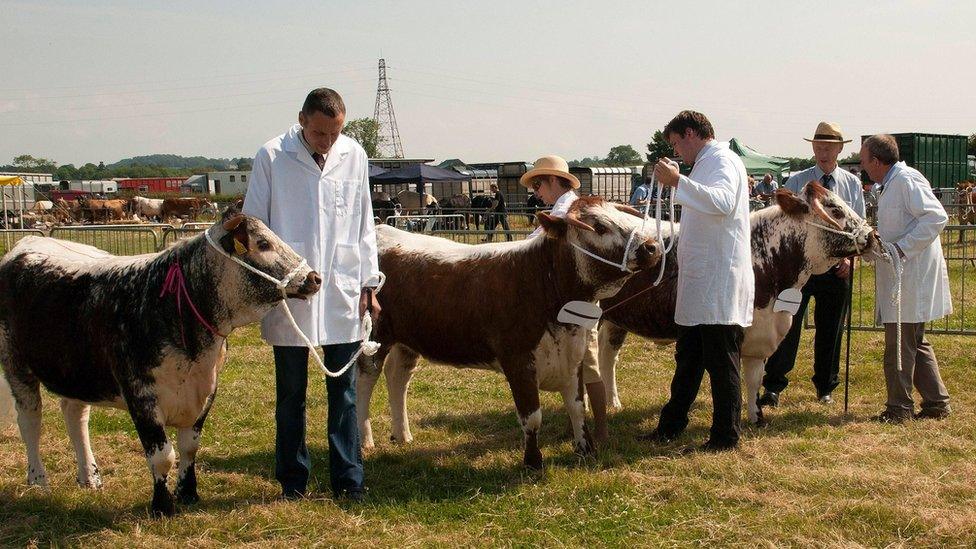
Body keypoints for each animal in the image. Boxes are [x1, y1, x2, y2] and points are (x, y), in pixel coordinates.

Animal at [0, 208, 320, 516]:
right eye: (263, 243)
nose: (314, 278)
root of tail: (29, 243)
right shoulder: (141, 396)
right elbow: (163, 456)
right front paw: (162, 505)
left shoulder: (206, 391)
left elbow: (189, 448)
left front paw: (188, 493)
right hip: (16, 365)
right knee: (30, 420)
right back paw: (39, 481)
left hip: (77, 371)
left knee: (75, 416)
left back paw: (89, 477)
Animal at [600, 182, 880, 426]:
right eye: (835, 209)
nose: (873, 235)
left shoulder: (760, 334)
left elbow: (754, 378)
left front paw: (756, 417)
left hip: (616, 319)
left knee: (608, 355)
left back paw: (611, 402)